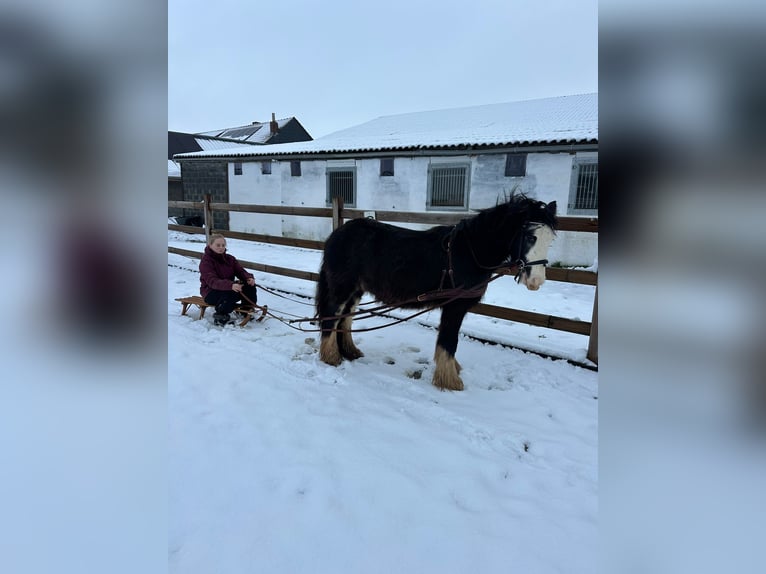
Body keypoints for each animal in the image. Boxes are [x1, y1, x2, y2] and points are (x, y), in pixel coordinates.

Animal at [316, 197, 560, 392]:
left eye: (550, 239)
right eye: (530, 237)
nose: (536, 281)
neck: (469, 252)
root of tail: (337, 235)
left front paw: (452, 371)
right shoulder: (454, 307)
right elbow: (449, 341)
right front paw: (450, 381)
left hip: (356, 290)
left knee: (345, 319)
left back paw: (349, 352)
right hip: (342, 288)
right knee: (331, 317)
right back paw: (331, 358)